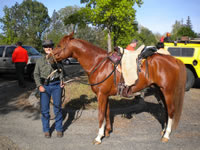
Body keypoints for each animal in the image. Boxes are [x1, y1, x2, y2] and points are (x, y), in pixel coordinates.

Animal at [49, 32, 186, 144]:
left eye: (60, 45)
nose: (49, 57)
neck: (99, 64)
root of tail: (173, 60)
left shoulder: (101, 95)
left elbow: (101, 115)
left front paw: (98, 137)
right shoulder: (106, 95)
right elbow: (107, 113)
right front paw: (107, 132)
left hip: (167, 91)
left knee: (171, 110)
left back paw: (166, 135)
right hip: (159, 91)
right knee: (165, 110)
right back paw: (163, 131)